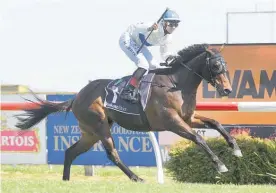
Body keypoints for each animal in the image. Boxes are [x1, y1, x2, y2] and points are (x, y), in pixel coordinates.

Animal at [16, 43, 243, 182]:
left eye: (226, 65)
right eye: (216, 66)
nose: (227, 90)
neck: (176, 84)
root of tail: (77, 96)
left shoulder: (188, 118)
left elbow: (216, 123)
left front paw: (236, 148)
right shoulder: (171, 122)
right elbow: (199, 139)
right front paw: (220, 165)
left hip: (90, 132)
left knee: (71, 151)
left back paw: (66, 180)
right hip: (99, 125)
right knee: (112, 153)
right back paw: (136, 177)